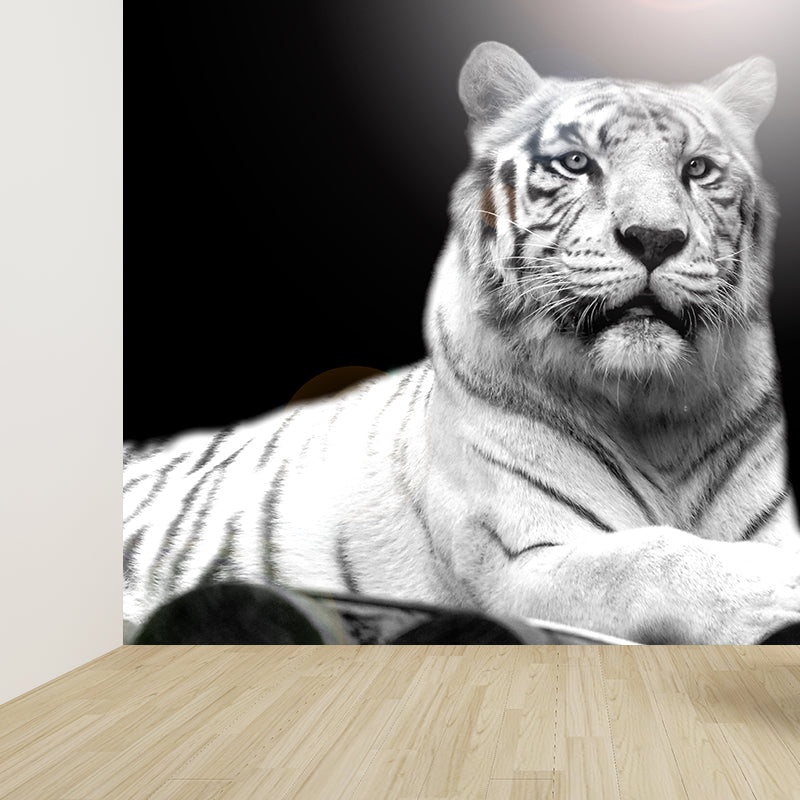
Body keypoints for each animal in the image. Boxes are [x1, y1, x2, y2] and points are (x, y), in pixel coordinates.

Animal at [124, 41, 800, 645]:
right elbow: (648, 560)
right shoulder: (521, 562)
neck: (654, 412)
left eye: (698, 169)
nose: (655, 238)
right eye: (576, 163)